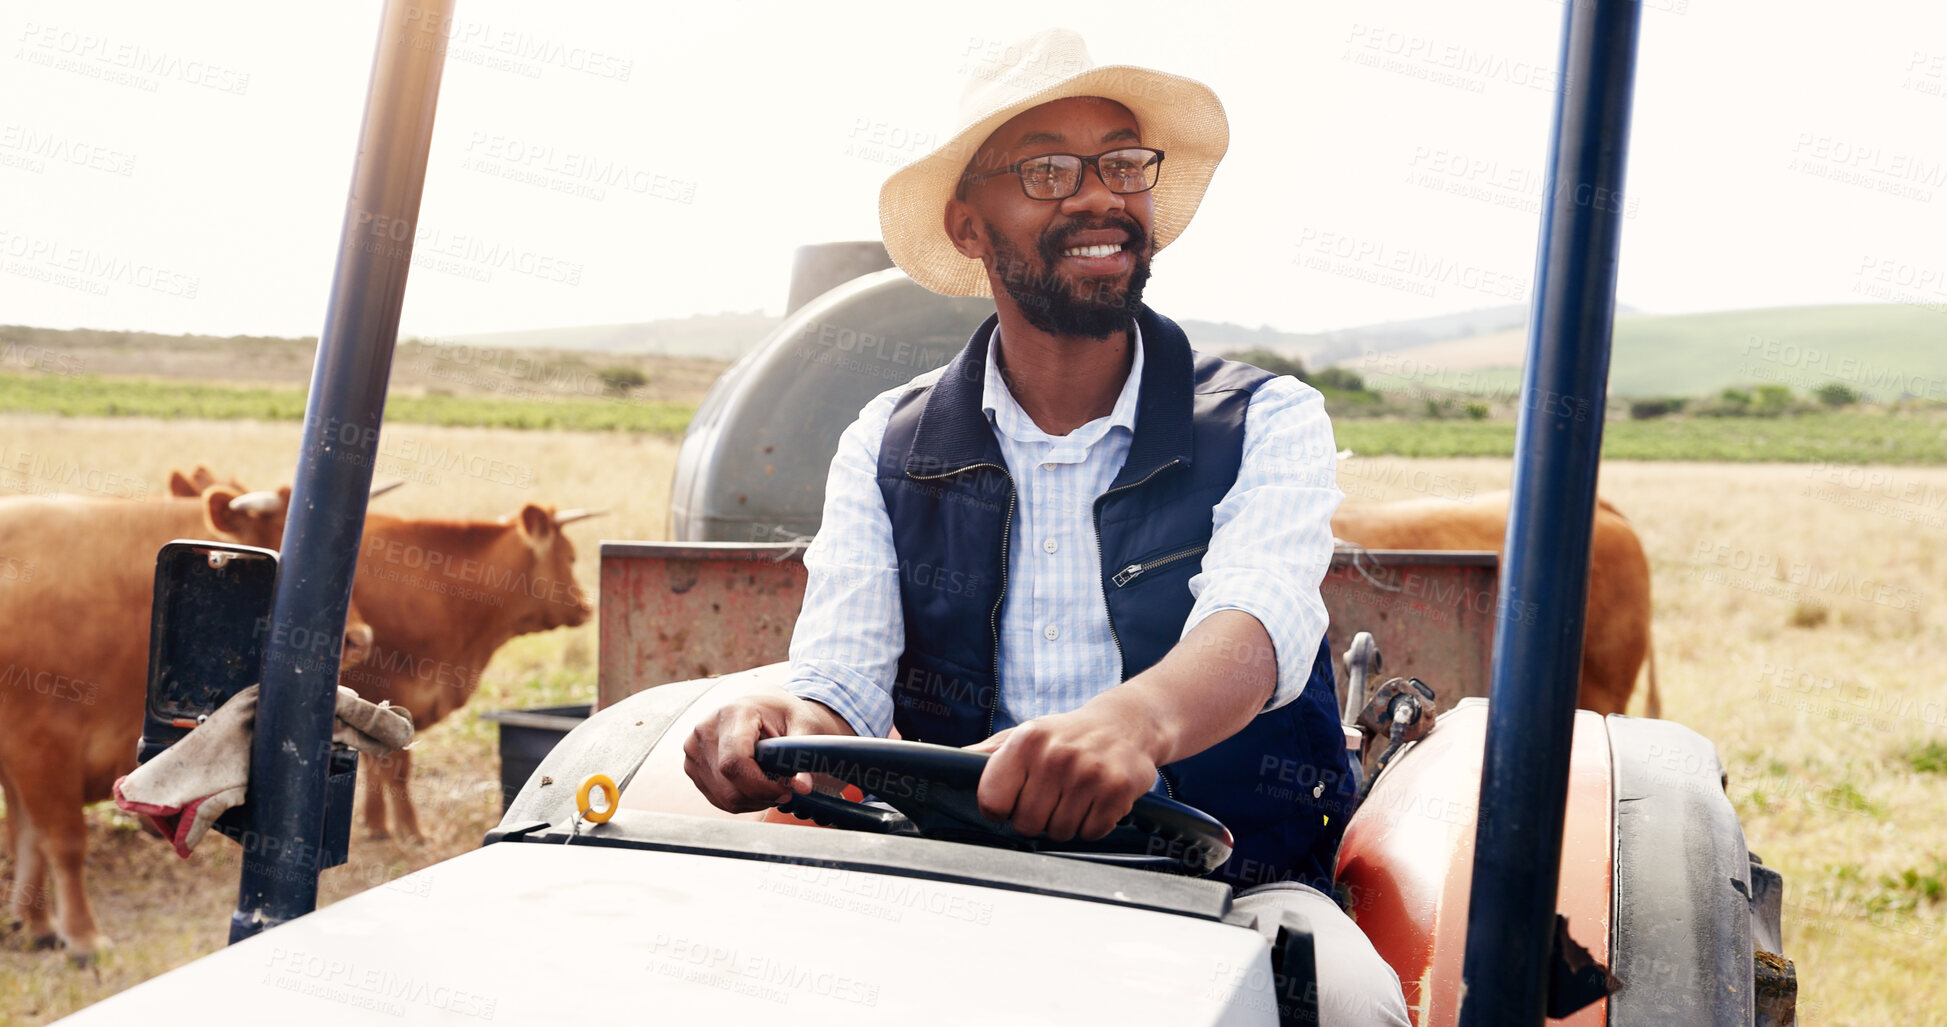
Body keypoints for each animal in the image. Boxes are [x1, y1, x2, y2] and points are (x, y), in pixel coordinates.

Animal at [0, 487, 367, 958]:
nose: (358, 639)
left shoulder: (25, 756)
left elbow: (30, 836)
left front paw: (38, 925)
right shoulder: (39, 744)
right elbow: (62, 842)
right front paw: (84, 937)